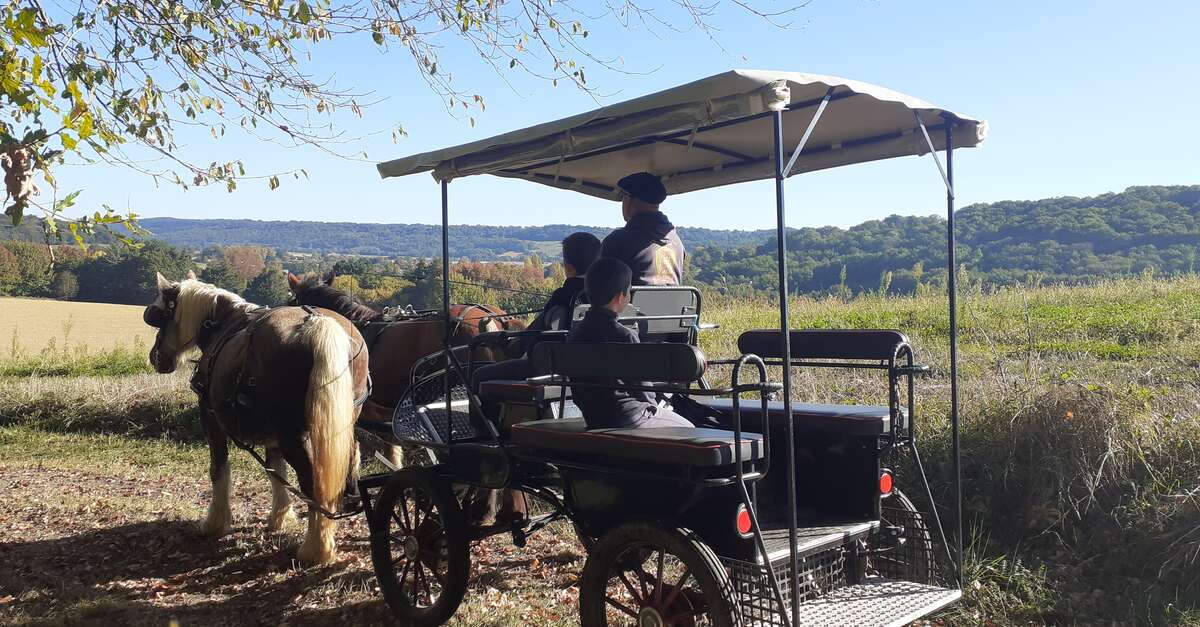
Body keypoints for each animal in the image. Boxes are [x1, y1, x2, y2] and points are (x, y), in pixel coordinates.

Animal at [141, 270, 364, 564]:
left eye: (161, 316)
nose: (156, 358)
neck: (222, 324)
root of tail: (317, 322)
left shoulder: (211, 419)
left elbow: (219, 470)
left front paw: (214, 523)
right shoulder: (273, 437)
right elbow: (275, 471)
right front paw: (280, 517)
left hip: (293, 436)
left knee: (313, 484)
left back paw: (316, 549)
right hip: (341, 424)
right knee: (347, 461)